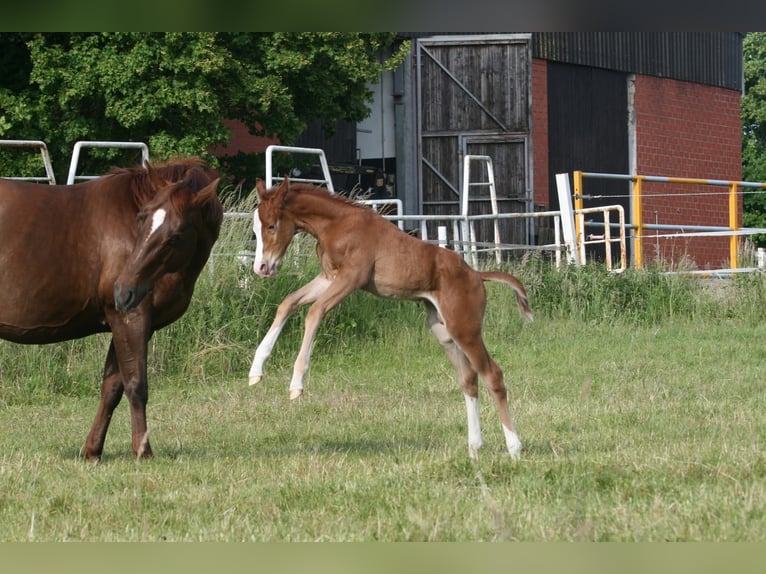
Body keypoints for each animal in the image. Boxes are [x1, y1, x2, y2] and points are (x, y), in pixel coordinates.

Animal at [0, 158, 223, 461]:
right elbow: (136, 385)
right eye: (141, 218)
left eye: (176, 236)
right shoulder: (129, 317)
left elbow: (112, 388)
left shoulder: (132, 323)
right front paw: (142, 450)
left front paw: (92, 451)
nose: (123, 290)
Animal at [248, 178, 533, 460]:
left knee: (492, 375)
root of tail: (476, 275)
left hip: (466, 329)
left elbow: (314, 312)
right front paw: (256, 371)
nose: (261, 268)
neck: (337, 225)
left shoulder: (351, 278)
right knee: (469, 379)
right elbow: (288, 303)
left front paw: (296, 383)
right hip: (444, 331)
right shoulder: (329, 277)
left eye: (271, 225)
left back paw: (514, 448)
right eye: (255, 227)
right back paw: (474, 448)